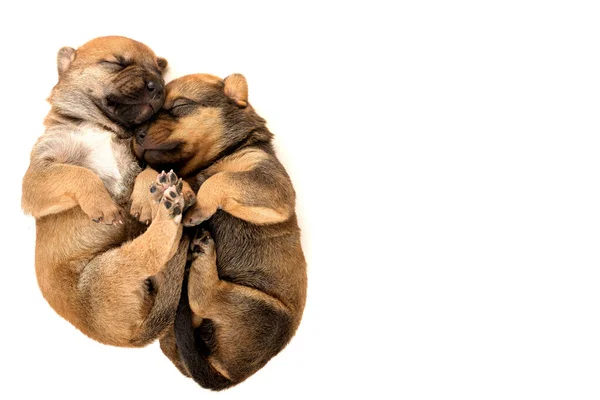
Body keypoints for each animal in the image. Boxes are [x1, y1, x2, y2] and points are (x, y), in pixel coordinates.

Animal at [21, 36, 193, 346]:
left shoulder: (138, 159)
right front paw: (102, 204)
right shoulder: (36, 177)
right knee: (152, 251)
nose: (158, 86)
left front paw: (144, 197)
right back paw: (170, 206)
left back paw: (170, 194)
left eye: (159, 72)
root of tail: (130, 336)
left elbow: (147, 169)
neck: (99, 125)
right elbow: (79, 173)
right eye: (116, 63)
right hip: (106, 271)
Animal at [133, 73, 308, 390]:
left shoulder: (272, 186)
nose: (134, 132)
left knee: (204, 298)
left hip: (261, 307)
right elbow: (152, 171)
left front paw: (198, 206)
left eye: (179, 106)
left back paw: (202, 254)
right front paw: (151, 190)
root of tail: (230, 376)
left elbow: (222, 179)